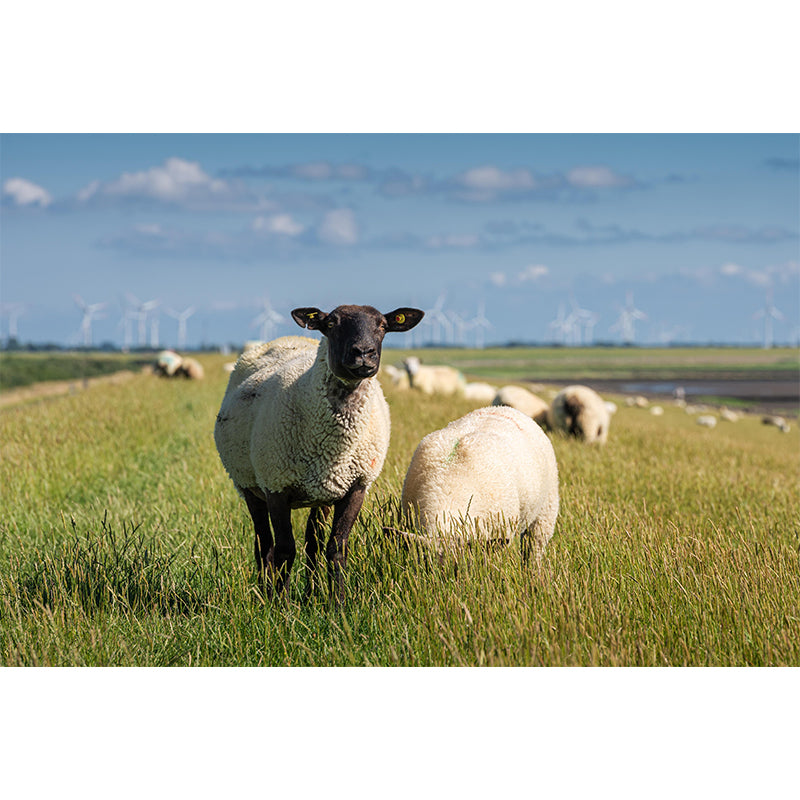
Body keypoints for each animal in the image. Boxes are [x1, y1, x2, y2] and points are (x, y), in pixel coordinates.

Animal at [214, 304, 424, 599]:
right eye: (331, 323)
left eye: (383, 326)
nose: (364, 353)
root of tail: (285, 339)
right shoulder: (276, 485)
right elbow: (284, 550)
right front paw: (281, 602)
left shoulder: (356, 487)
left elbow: (336, 548)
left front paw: (338, 601)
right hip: (248, 483)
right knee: (264, 544)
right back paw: (265, 593)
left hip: (322, 493)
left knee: (312, 542)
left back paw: (311, 592)